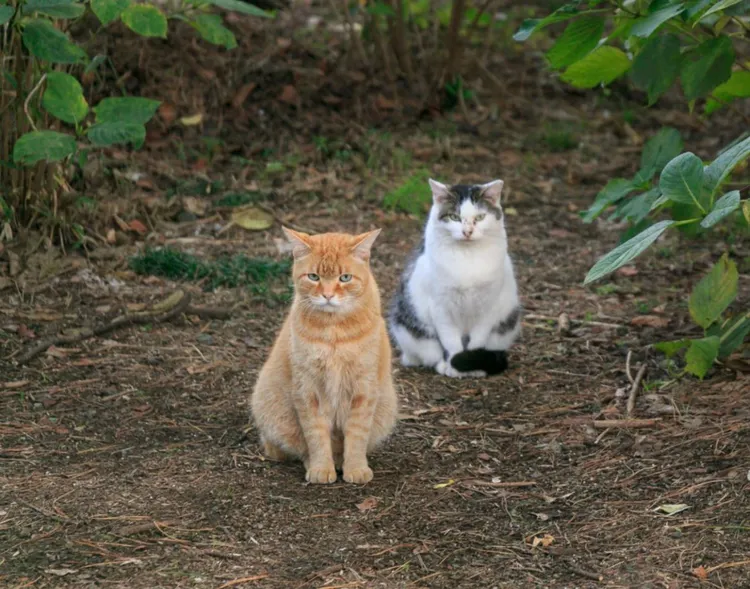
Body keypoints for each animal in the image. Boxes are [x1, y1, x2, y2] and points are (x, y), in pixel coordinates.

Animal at [253, 225, 400, 482]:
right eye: (314, 277)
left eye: (345, 278)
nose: (328, 295)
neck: (334, 333)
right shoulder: (308, 389)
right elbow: (315, 435)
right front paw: (321, 468)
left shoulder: (363, 388)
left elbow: (357, 436)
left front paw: (356, 468)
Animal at [388, 177, 524, 376]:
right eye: (454, 217)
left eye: (480, 217)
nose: (467, 232)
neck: (467, 257)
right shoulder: (441, 307)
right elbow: (451, 342)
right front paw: (453, 366)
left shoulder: (488, 307)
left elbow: (477, 340)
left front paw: (472, 367)